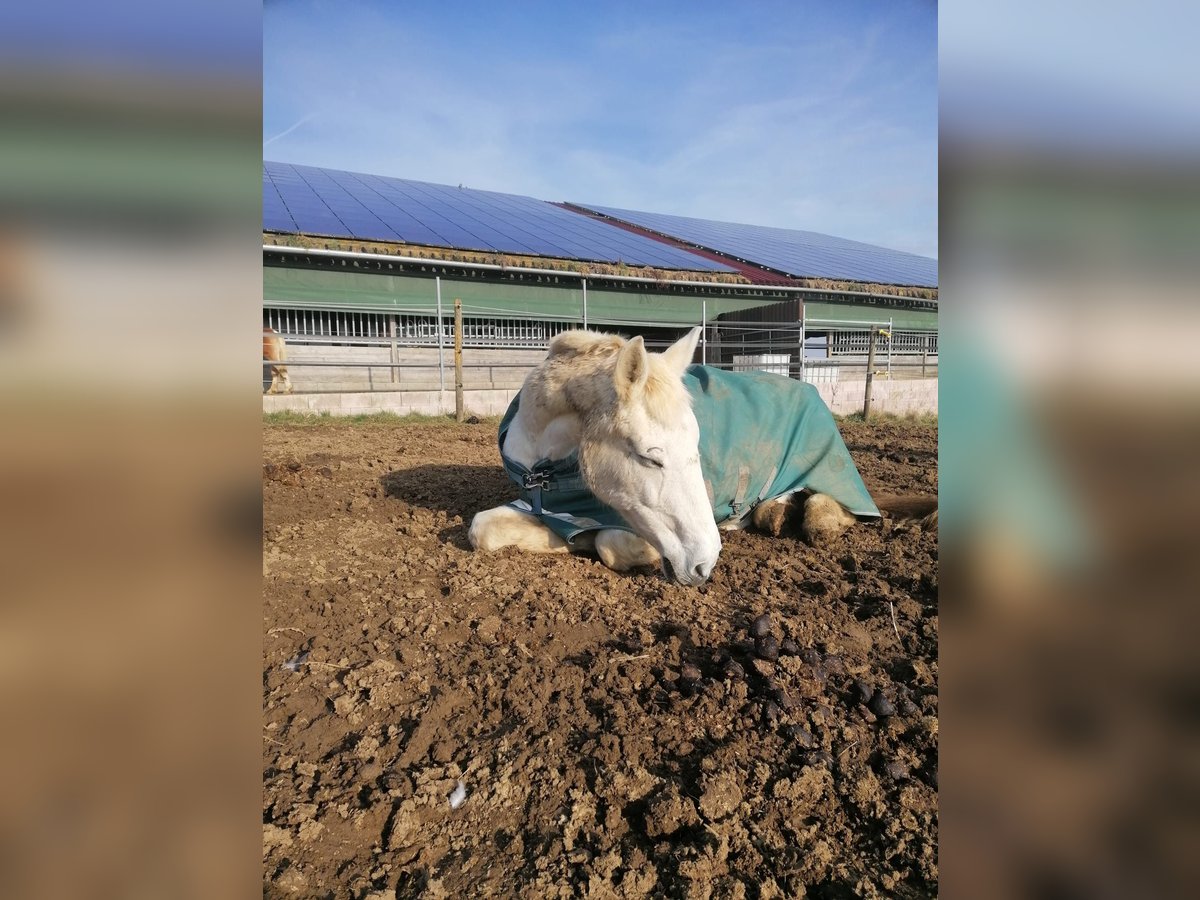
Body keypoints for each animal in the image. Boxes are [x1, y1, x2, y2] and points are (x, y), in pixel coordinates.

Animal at [470, 328, 936, 588]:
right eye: (650, 458)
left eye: (697, 446)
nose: (705, 562)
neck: (545, 472)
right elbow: (482, 530)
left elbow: (609, 544)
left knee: (831, 510)